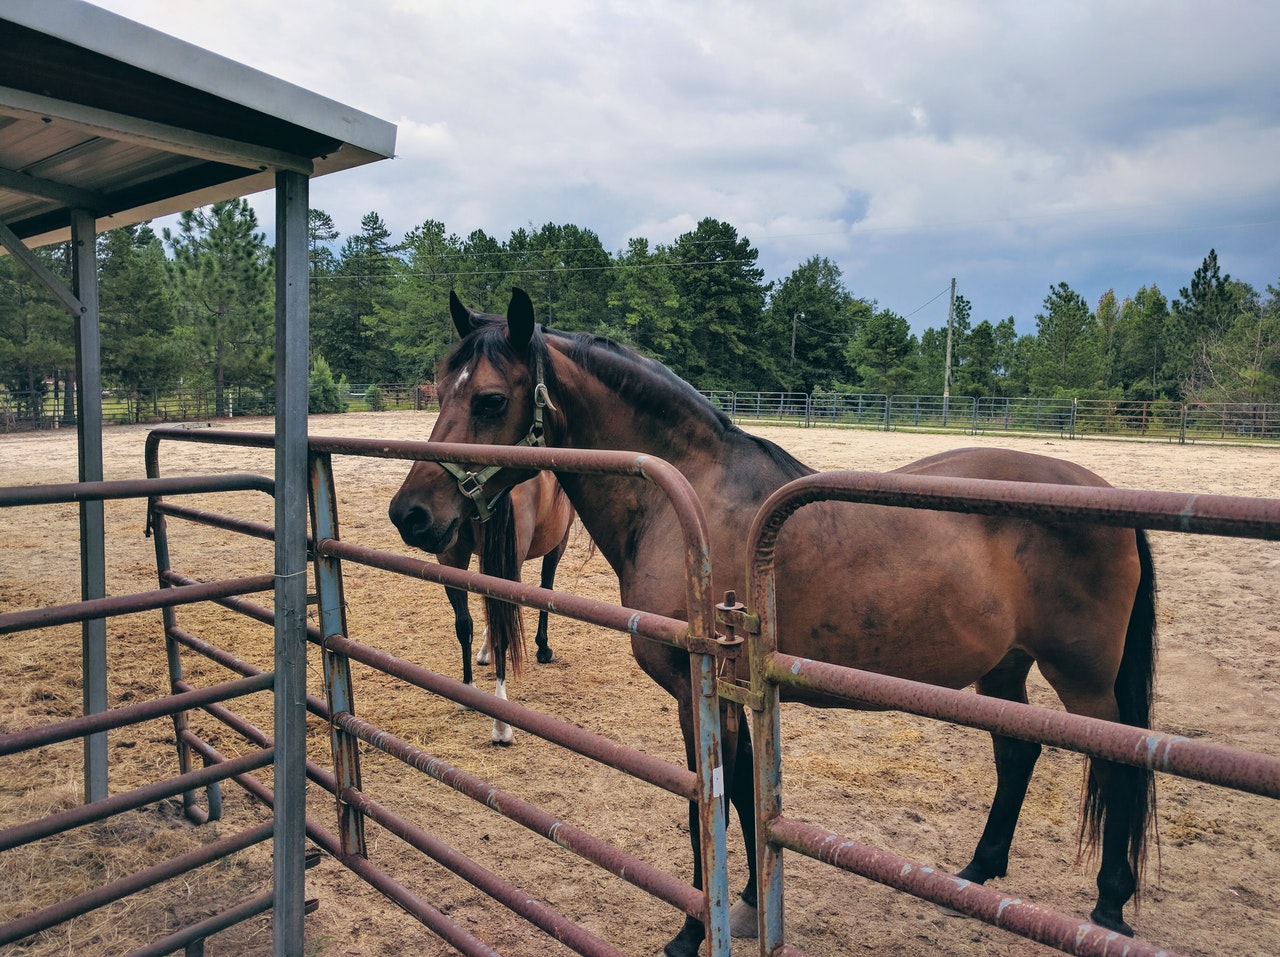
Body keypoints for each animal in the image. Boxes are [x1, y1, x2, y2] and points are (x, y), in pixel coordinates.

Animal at [418, 464, 574, 745]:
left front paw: (484, 650)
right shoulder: (559, 541)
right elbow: (546, 588)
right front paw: (543, 647)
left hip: (450, 556)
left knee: (463, 624)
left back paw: (468, 691)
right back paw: (502, 725)